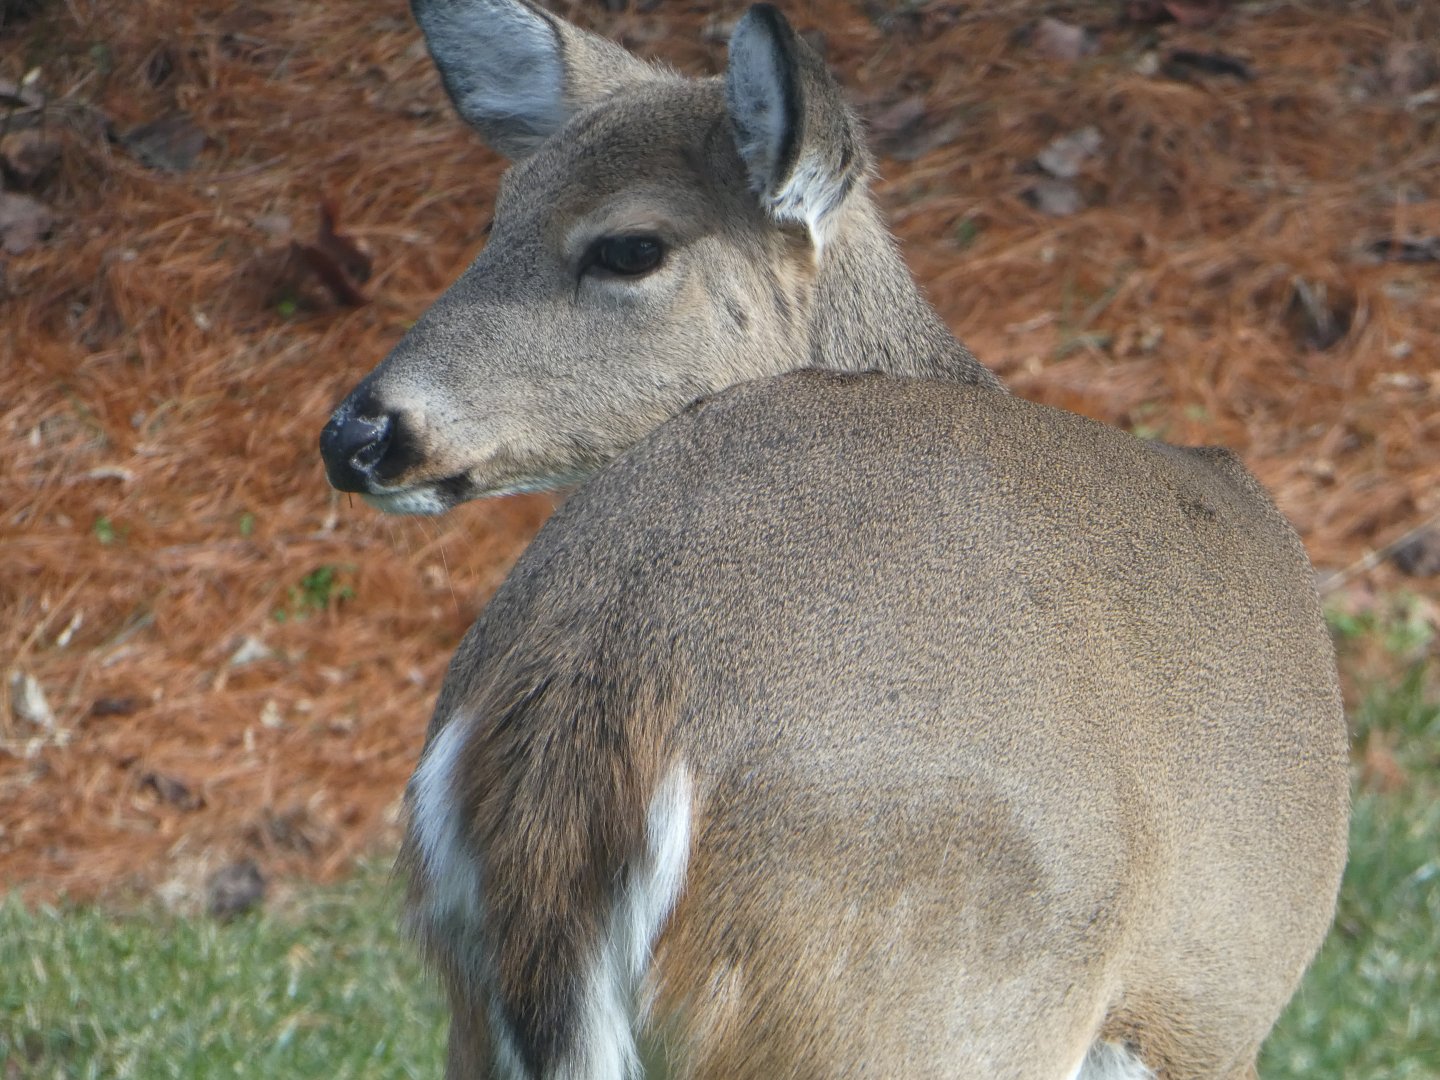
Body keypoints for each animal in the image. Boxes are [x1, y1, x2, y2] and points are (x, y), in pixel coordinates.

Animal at [317, 3, 1349, 1078]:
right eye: (502, 215)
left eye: (630, 247)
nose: (356, 435)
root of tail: (595, 695)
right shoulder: (1213, 999)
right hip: (912, 993)